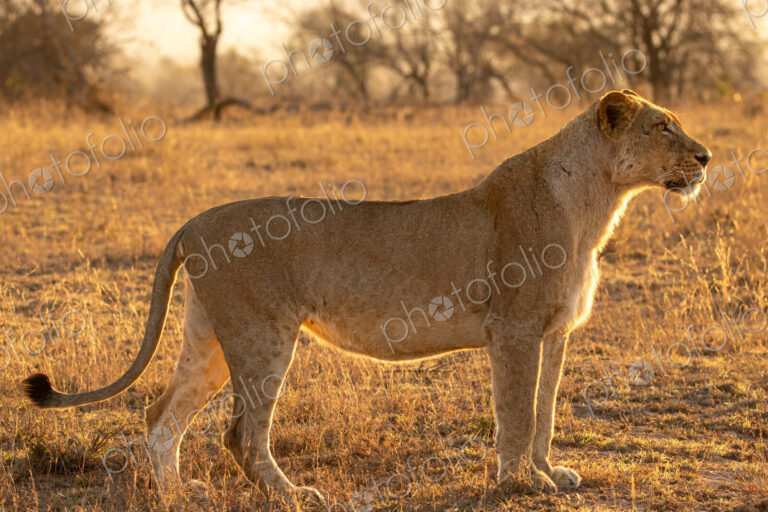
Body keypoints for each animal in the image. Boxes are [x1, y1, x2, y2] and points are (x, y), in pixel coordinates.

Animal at [23, 90, 711, 503]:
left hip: (210, 339)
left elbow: (542, 415)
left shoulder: (555, 332)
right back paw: (293, 497)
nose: (706, 157)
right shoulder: (514, 332)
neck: (598, 202)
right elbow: (516, 416)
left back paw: (177, 496)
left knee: (161, 415)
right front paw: (520, 484)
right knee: (241, 435)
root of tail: (192, 222)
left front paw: (548, 473)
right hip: (262, 335)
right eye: (662, 127)